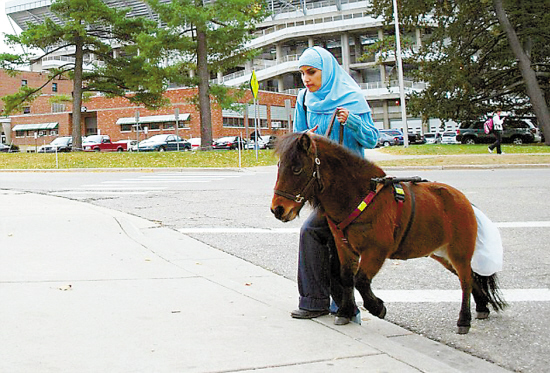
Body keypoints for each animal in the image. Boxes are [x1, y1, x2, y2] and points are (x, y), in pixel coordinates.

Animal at [272, 132, 508, 334]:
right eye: (279, 166)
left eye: (297, 169)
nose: (278, 209)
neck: (359, 197)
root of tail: (465, 202)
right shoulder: (344, 247)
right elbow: (347, 278)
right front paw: (345, 312)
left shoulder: (376, 251)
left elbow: (361, 280)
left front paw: (377, 307)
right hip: (442, 254)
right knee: (470, 277)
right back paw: (482, 307)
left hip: (459, 251)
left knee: (465, 280)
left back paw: (464, 320)